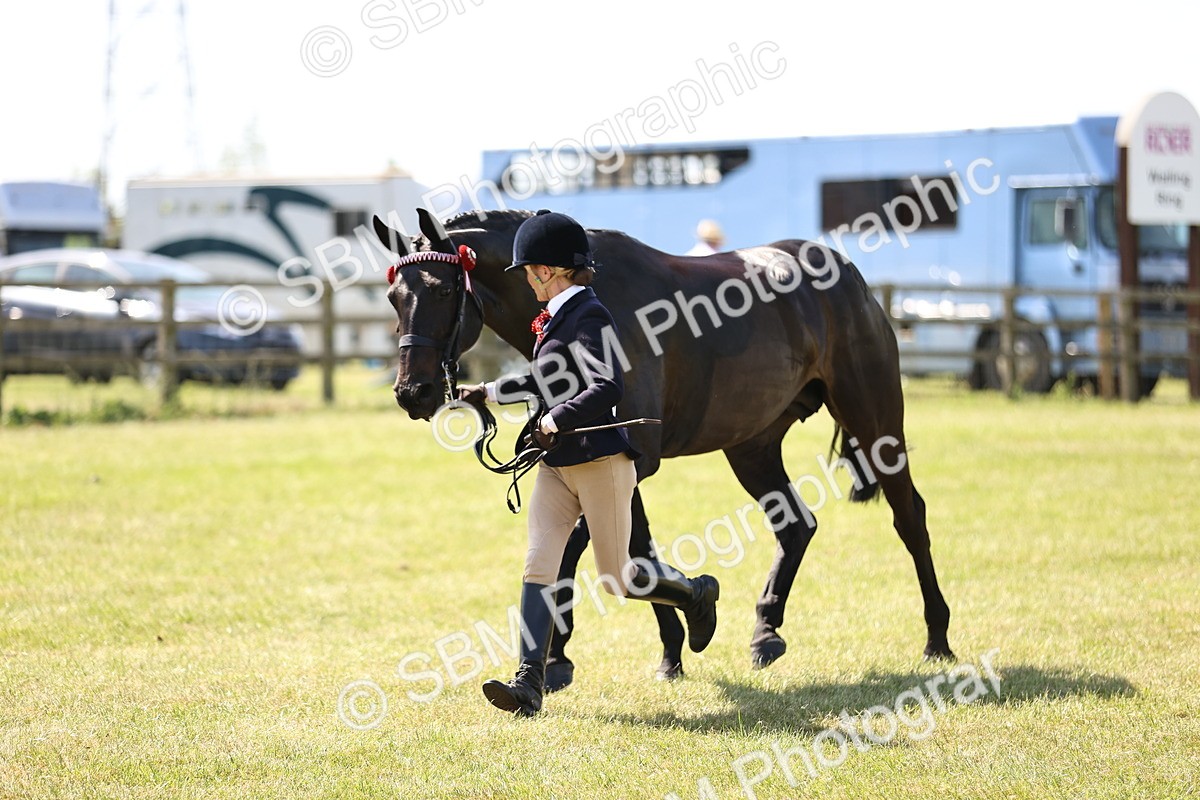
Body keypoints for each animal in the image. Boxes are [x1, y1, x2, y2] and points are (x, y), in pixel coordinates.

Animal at [376, 207, 955, 686]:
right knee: (796, 524)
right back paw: (765, 633)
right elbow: (635, 551)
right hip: (753, 444)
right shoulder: (610, 460)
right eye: (394, 297)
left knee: (910, 517)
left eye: (443, 292)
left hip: (874, 421)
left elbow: (594, 550)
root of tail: (848, 275)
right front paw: (673, 646)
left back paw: (937, 638)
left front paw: (558, 657)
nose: (412, 392)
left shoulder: (627, 457)